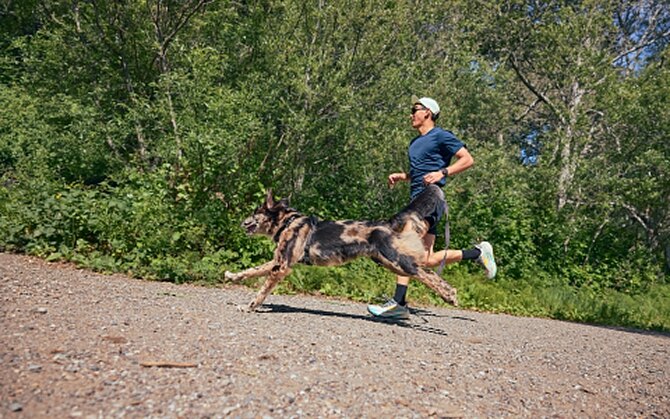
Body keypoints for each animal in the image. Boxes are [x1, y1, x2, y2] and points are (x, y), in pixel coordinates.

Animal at [224, 185, 458, 312]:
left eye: (255, 212)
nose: (241, 222)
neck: (288, 222)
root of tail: (387, 223)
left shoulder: (281, 267)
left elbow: (261, 291)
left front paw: (249, 307)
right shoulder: (278, 262)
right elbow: (251, 271)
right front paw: (232, 276)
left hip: (397, 260)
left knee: (426, 273)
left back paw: (450, 295)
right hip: (389, 263)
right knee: (424, 272)